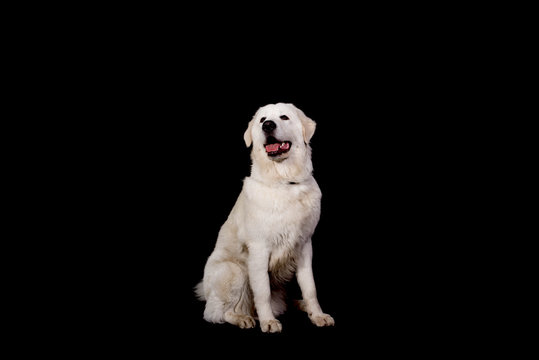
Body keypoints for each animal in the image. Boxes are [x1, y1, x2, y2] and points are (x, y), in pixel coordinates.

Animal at [196, 102, 336, 334]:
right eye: (262, 120)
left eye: (284, 117)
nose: (268, 125)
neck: (285, 183)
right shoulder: (260, 248)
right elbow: (262, 292)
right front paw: (268, 321)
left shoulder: (304, 245)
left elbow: (310, 288)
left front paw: (317, 315)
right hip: (235, 270)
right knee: (219, 312)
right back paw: (243, 318)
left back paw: (300, 305)